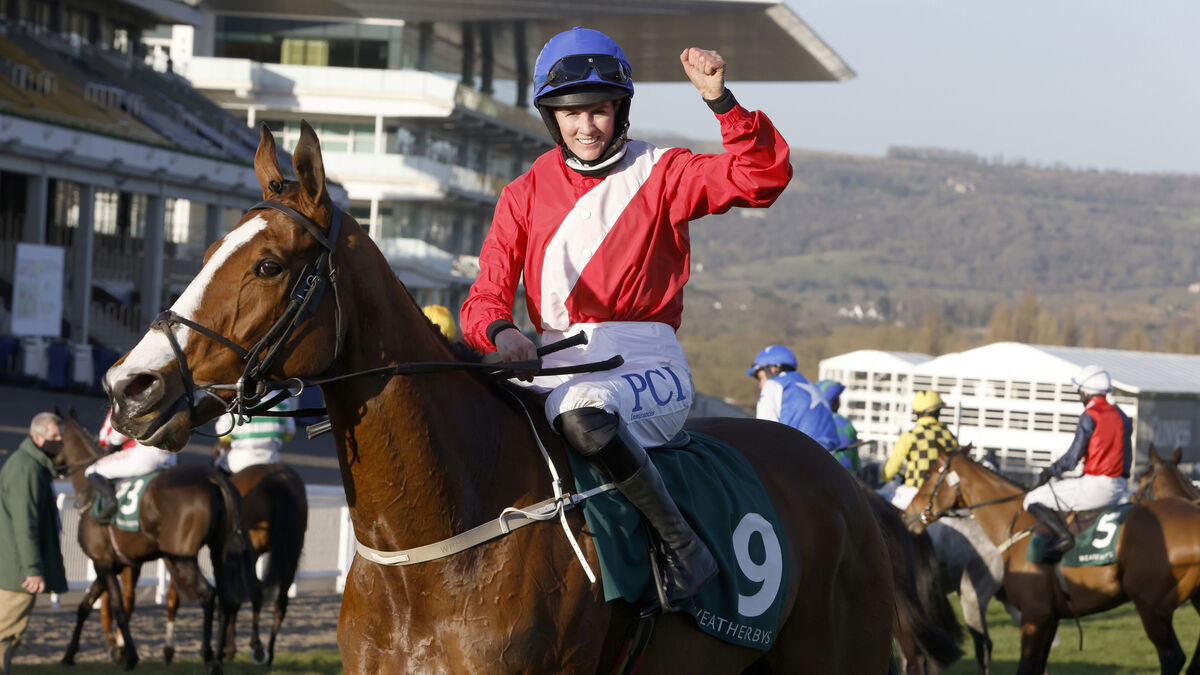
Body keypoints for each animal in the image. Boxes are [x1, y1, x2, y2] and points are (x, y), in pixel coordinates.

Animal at [54, 411, 256, 673]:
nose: (54, 465)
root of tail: (212, 477)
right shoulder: (114, 564)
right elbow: (85, 607)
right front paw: (69, 654)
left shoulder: (103, 562)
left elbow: (118, 608)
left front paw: (130, 657)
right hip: (219, 551)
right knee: (225, 596)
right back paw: (219, 658)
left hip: (181, 557)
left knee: (207, 594)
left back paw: (208, 654)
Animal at [903, 448, 1200, 675]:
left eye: (928, 475)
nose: (908, 515)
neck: (1014, 523)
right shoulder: (1050, 615)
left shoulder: (1034, 614)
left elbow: (1026, 667)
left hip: (1151, 606)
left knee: (1172, 657)